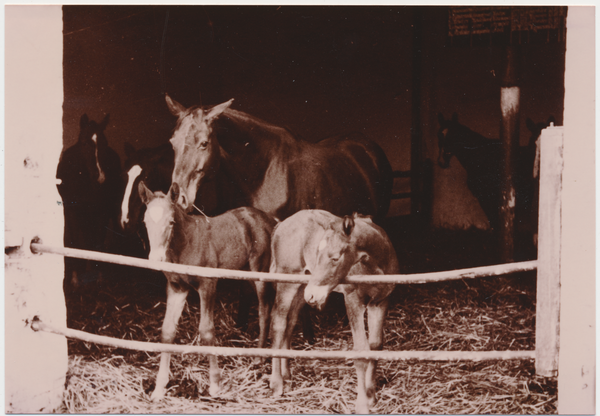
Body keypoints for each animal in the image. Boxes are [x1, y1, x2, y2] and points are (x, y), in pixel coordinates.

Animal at [56, 114, 123, 292]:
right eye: (84, 143)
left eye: (104, 143)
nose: (100, 177)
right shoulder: (71, 211)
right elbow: (74, 241)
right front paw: (75, 280)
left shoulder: (102, 211)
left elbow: (98, 240)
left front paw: (100, 278)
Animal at [139, 181, 276, 400]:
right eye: (145, 221)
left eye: (171, 222)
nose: (156, 259)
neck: (185, 245)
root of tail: (270, 219)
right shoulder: (177, 287)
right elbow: (167, 330)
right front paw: (159, 388)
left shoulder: (208, 284)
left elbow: (207, 330)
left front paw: (215, 384)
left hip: (261, 271)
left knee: (265, 310)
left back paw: (258, 358)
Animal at [268, 210, 398, 414]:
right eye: (317, 254)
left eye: (335, 258)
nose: (313, 295)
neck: (375, 265)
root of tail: (281, 224)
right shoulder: (353, 300)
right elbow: (361, 350)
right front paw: (362, 404)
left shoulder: (381, 301)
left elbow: (376, 345)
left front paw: (371, 396)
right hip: (287, 282)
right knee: (279, 323)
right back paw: (276, 384)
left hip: (301, 286)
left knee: (290, 322)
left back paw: (286, 374)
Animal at [436, 112, 552, 250]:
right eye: (439, 135)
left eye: (454, 135)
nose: (441, 161)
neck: (482, 158)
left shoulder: (489, 197)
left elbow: (495, 221)